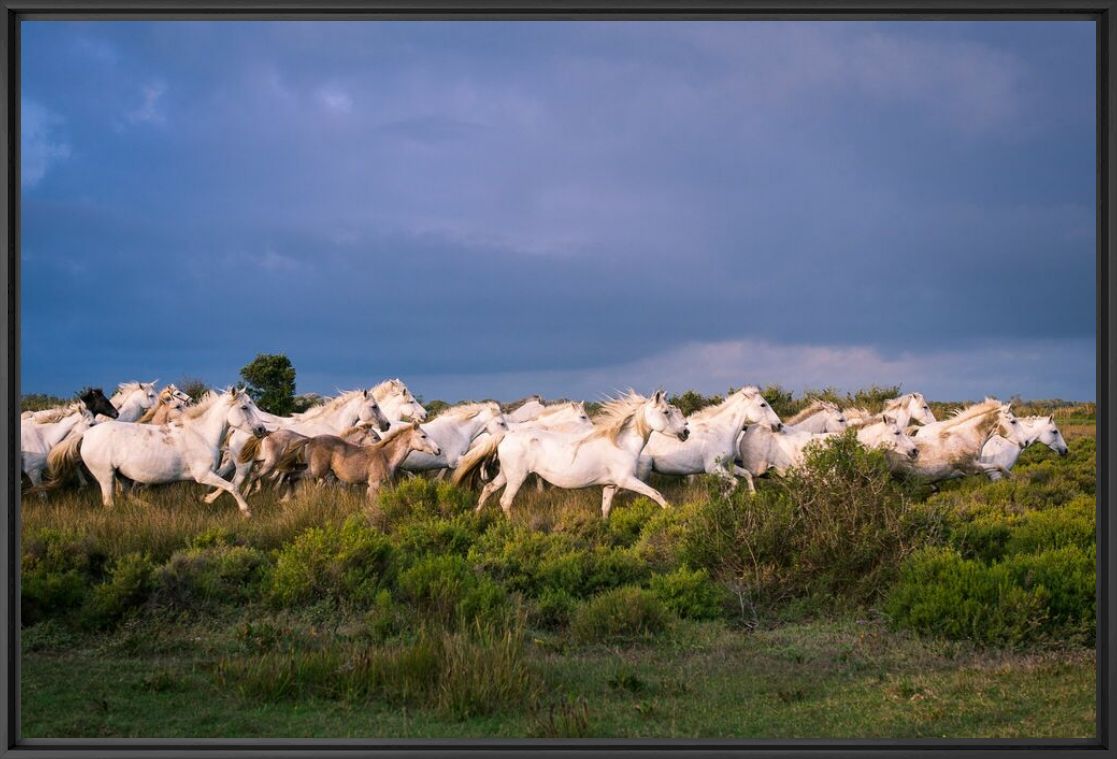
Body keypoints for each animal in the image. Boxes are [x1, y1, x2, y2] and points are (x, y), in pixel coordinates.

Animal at [50, 391, 272, 516]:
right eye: (245, 407)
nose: (262, 429)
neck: (200, 434)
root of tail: (86, 434)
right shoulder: (202, 475)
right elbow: (231, 487)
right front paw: (246, 511)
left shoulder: (211, 474)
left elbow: (228, 485)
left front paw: (207, 499)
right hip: (106, 475)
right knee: (109, 502)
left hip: (122, 475)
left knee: (128, 495)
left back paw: (149, 508)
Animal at [301, 424, 440, 500]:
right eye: (423, 436)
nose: (438, 450)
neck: (386, 456)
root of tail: (311, 440)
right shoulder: (374, 485)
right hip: (316, 473)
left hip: (324, 478)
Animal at [453, 391, 688, 523]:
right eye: (666, 412)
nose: (686, 432)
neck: (621, 443)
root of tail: (506, 434)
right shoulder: (626, 480)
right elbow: (656, 494)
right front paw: (672, 514)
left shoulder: (610, 485)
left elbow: (605, 508)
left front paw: (605, 527)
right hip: (517, 477)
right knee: (505, 501)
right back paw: (511, 526)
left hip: (506, 475)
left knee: (488, 489)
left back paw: (476, 515)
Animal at [638, 386, 786, 491]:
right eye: (763, 404)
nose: (779, 424)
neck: (721, 431)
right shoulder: (713, 468)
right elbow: (735, 483)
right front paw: (724, 500)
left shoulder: (728, 464)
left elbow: (747, 475)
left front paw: (752, 497)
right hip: (643, 472)